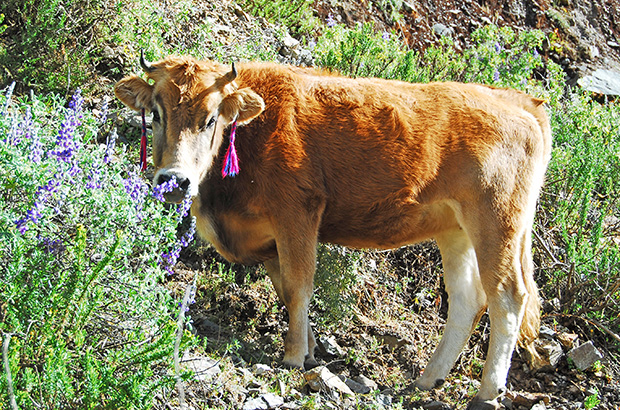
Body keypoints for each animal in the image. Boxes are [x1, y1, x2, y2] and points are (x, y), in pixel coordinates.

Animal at [116, 54, 552, 410]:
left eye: (210, 119)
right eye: (157, 114)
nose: (174, 181)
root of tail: (518, 100)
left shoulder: (297, 213)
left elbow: (299, 284)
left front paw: (292, 356)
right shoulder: (272, 240)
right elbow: (286, 289)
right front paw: (309, 350)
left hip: (496, 219)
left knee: (507, 296)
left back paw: (487, 392)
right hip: (455, 229)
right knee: (466, 299)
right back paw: (427, 380)